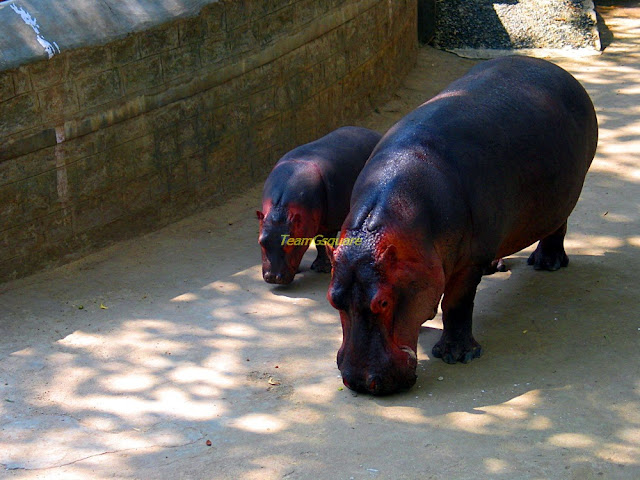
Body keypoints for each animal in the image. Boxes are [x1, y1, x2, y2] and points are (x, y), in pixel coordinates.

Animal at [258, 127, 382, 284]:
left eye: (290, 242)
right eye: (261, 241)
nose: (273, 277)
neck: (281, 209)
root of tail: (373, 132)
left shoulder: (328, 221)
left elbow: (323, 241)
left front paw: (321, 268)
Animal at [328, 55, 596, 394]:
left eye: (384, 301)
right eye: (332, 299)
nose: (361, 382)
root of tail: (557, 69)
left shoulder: (468, 261)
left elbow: (457, 303)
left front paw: (457, 356)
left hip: (566, 193)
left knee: (557, 226)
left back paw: (547, 263)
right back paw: (497, 266)